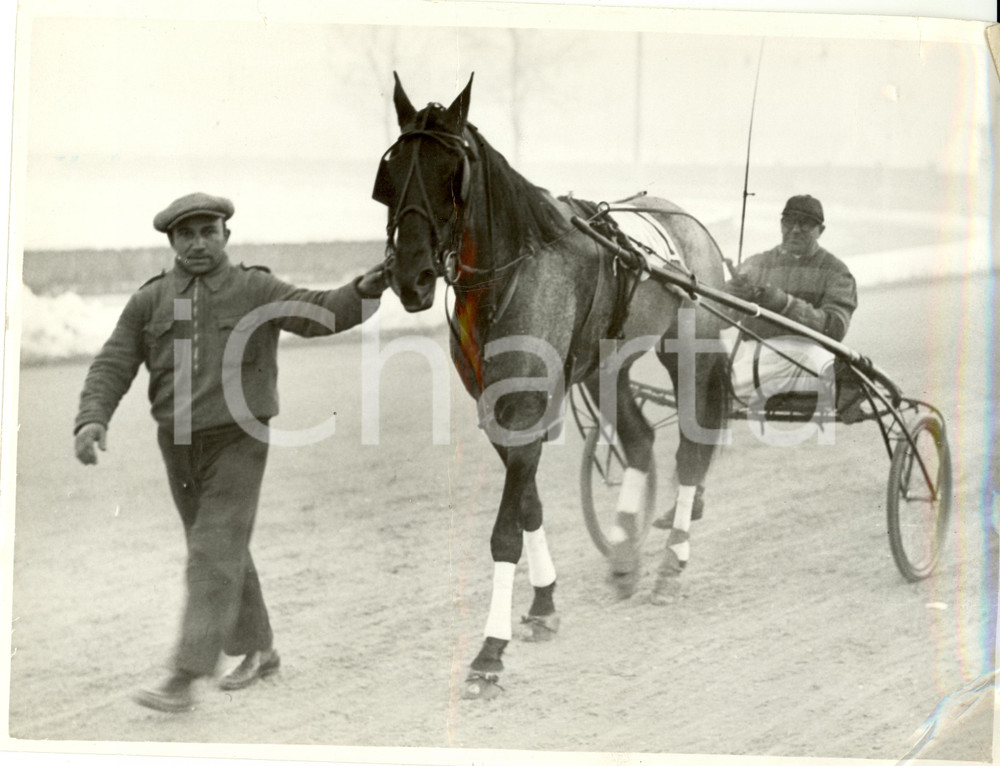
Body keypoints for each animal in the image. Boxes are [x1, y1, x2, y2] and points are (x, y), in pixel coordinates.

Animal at [372, 72, 730, 699]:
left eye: (450, 171)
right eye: (392, 171)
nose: (410, 275)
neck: (509, 273)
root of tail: (685, 219)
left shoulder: (525, 404)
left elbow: (505, 530)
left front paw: (490, 652)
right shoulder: (496, 407)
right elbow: (530, 506)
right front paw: (543, 603)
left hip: (690, 351)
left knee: (691, 448)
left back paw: (670, 563)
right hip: (608, 365)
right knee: (639, 440)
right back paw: (624, 554)